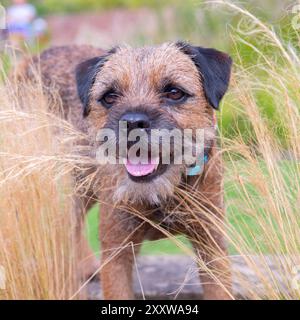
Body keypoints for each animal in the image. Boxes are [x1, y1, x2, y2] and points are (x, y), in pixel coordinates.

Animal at [21, 41, 232, 298]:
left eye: (174, 92)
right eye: (110, 97)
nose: (132, 122)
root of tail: (32, 59)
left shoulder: (212, 247)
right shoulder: (117, 252)